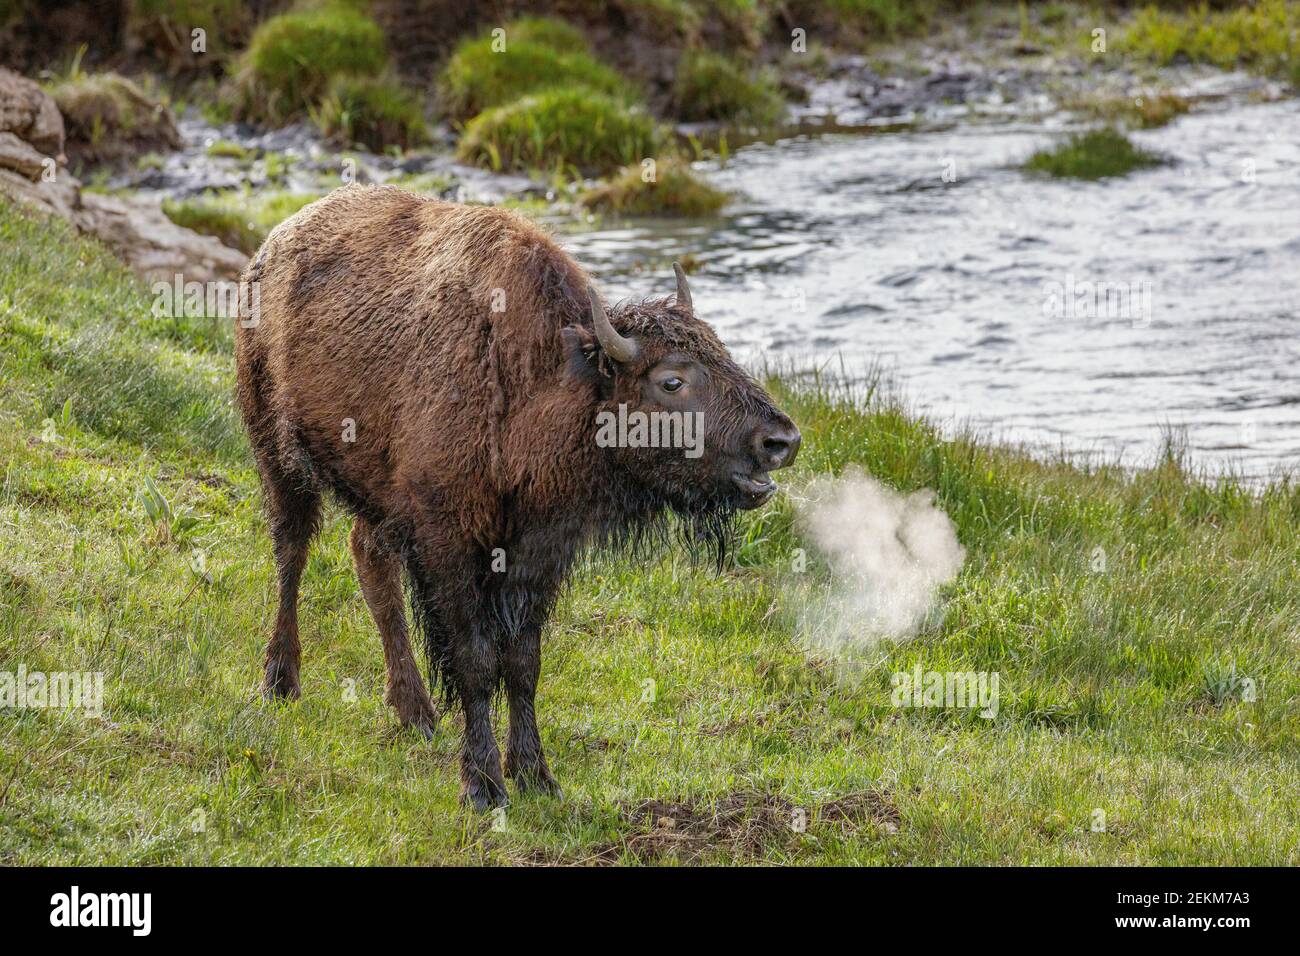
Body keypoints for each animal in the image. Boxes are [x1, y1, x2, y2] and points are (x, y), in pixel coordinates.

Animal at [236, 184, 800, 806]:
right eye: (671, 380)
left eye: (723, 350)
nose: (780, 440)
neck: (542, 381)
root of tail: (274, 244)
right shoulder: (450, 545)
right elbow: (477, 662)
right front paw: (483, 786)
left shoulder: (538, 551)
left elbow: (523, 662)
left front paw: (536, 775)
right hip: (277, 452)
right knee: (292, 553)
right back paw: (280, 683)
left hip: (378, 497)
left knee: (369, 560)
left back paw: (415, 713)